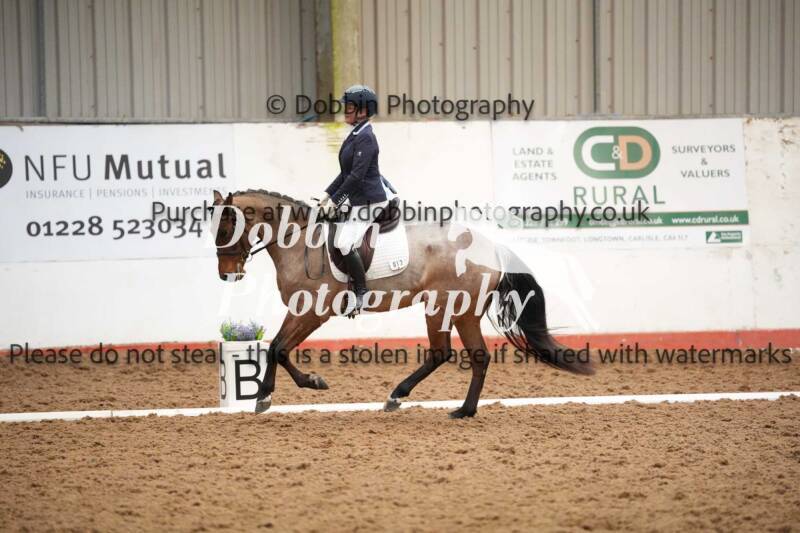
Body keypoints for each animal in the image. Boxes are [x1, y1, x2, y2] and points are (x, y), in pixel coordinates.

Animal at [210, 189, 594, 418]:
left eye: (225, 229)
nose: (227, 275)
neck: (301, 241)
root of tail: (491, 246)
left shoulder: (312, 310)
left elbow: (277, 348)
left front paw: (274, 393)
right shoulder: (305, 311)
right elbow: (278, 347)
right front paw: (278, 392)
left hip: (447, 307)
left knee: (450, 354)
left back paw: (413, 399)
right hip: (457, 310)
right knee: (467, 355)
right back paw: (454, 408)